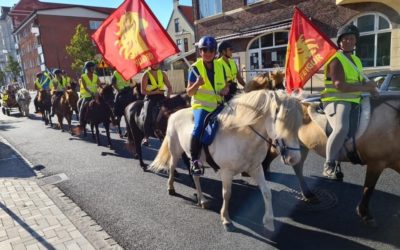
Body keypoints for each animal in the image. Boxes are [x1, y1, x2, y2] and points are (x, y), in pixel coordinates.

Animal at [151, 90, 304, 232]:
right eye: (282, 123)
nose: (294, 158)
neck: (240, 134)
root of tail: (174, 114)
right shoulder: (226, 172)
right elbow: (227, 194)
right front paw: (226, 219)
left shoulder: (255, 168)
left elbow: (267, 192)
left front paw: (269, 221)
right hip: (175, 151)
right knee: (172, 167)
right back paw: (171, 188)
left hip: (194, 159)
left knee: (195, 176)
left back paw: (202, 200)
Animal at [247, 72, 400, 223]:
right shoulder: (376, 162)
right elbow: (369, 188)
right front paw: (364, 212)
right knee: (272, 155)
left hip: (301, 146)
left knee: (297, 166)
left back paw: (308, 193)